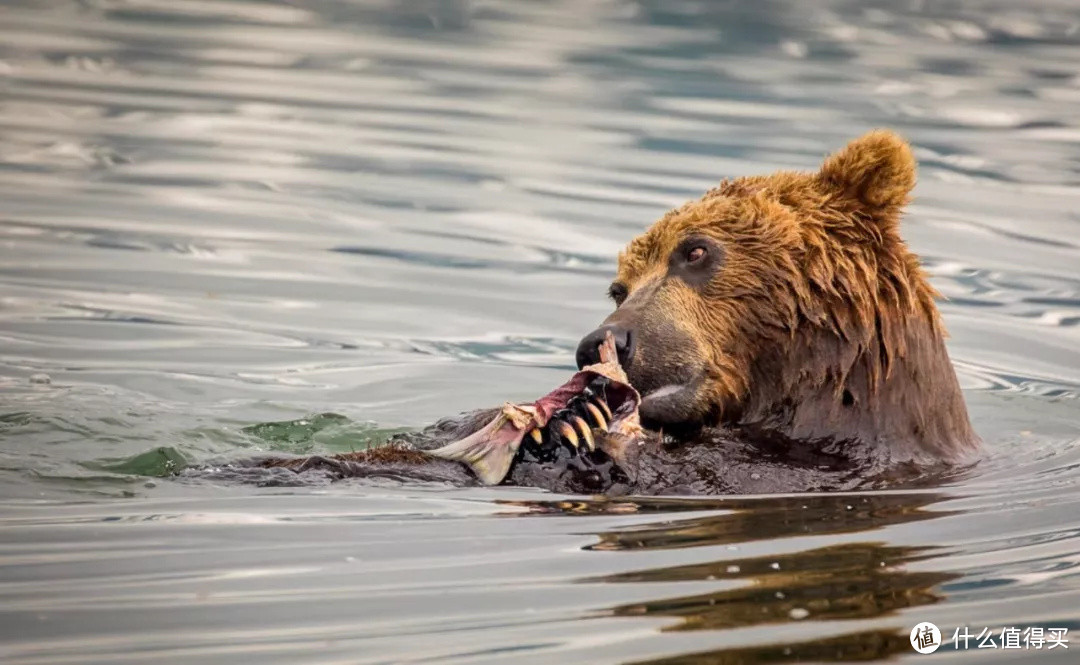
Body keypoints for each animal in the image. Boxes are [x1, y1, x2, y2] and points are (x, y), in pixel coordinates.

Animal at [250, 130, 980, 496]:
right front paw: (550, 416)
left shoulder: (819, 465)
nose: (601, 342)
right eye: (618, 284)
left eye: (694, 250)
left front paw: (582, 428)